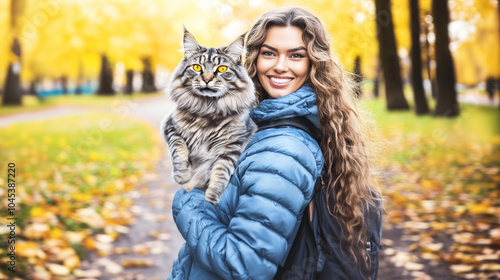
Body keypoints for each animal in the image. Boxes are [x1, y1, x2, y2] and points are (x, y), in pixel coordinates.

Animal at [161, 29, 256, 205]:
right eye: (197, 67)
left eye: (222, 68)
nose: (206, 79)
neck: (207, 109)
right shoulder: (169, 126)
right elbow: (178, 148)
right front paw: (182, 175)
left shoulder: (232, 145)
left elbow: (221, 171)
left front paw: (211, 198)